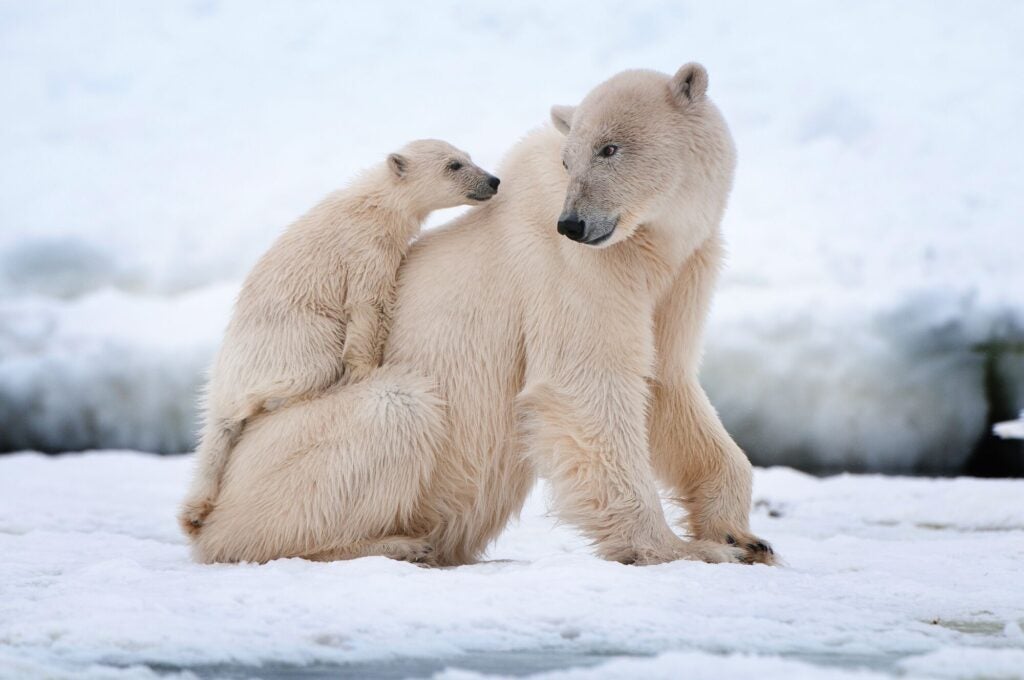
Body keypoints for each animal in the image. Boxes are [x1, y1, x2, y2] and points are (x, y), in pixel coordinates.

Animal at [178, 140, 500, 536]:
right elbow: (368, 305)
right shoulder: (364, 249)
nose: (493, 180)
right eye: (454, 165)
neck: (375, 203)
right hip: (294, 339)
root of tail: (223, 383)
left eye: (469, 157)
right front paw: (365, 370)